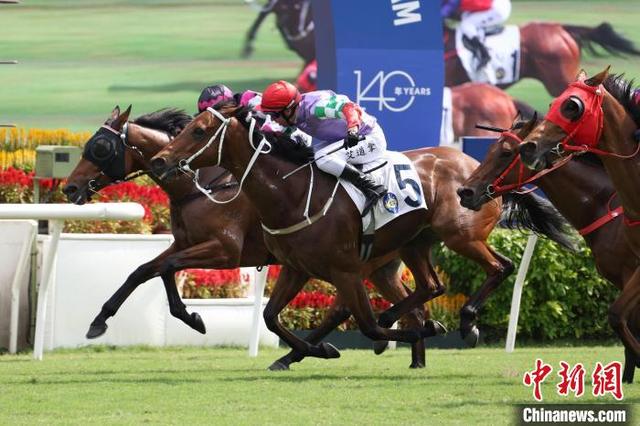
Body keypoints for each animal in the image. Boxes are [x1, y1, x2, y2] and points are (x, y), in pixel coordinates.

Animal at [62, 105, 432, 370]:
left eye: (100, 147)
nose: (70, 188)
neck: (202, 185)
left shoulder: (225, 251)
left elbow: (165, 267)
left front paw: (191, 318)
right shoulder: (185, 242)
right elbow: (144, 270)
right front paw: (99, 321)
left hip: (359, 264)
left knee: (351, 309)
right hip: (380, 264)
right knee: (406, 303)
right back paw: (413, 356)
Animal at [151, 100, 576, 362]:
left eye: (199, 130)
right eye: (187, 126)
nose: (160, 160)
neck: (292, 193)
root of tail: (478, 171)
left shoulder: (346, 271)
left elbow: (368, 327)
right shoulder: (296, 268)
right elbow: (272, 317)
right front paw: (318, 350)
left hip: (461, 236)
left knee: (499, 267)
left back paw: (465, 322)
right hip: (414, 244)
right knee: (431, 286)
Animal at [458, 115, 640, 384]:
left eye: (506, 152)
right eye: (490, 149)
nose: (465, 192)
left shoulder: (632, 273)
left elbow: (620, 319)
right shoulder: (621, 277)